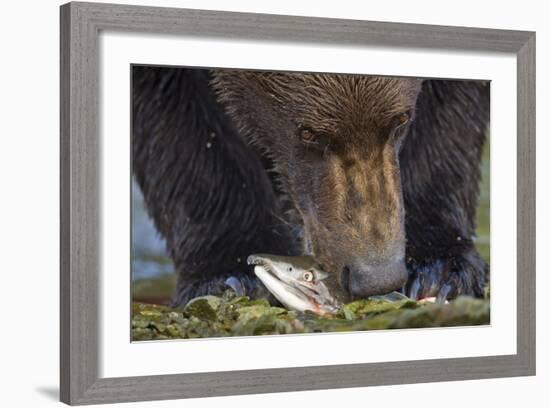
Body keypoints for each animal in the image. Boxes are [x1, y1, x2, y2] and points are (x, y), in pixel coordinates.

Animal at [132, 66, 490, 306]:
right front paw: (230, 277)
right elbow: (179, 129)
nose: (377, 277)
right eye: (307, 133)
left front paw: (440, 271)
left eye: (401, 119)